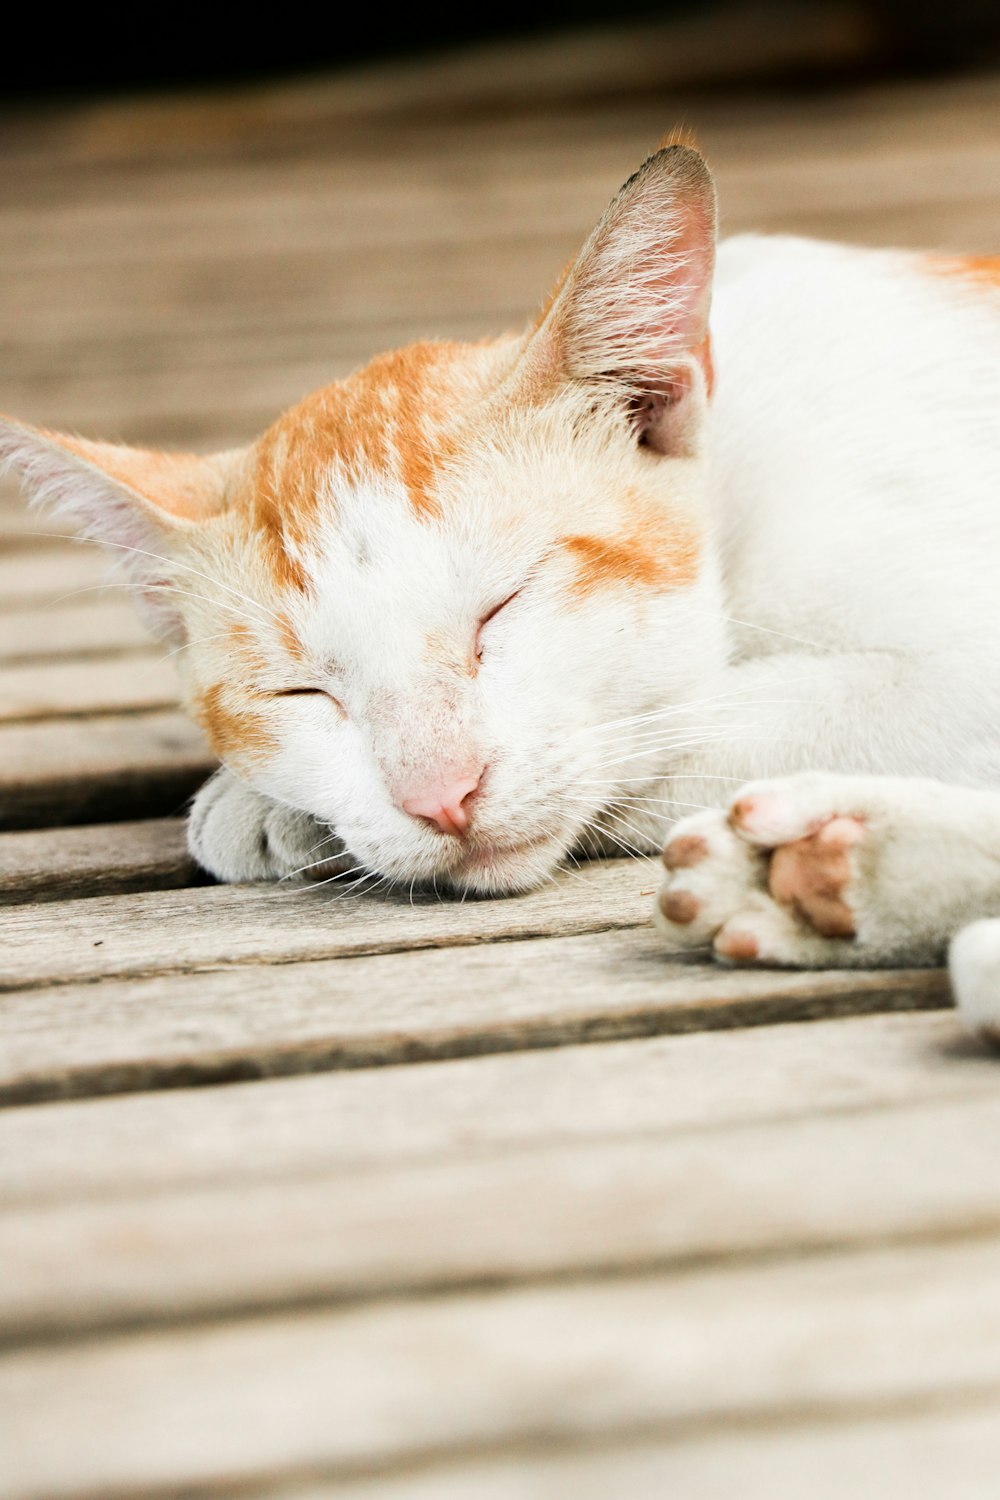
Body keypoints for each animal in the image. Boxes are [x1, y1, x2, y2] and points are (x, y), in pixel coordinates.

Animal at [1, 149, 1000, 1032]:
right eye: (299, 693)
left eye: (502, 610)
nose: (442, 796)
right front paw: (277, 803)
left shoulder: (956, 669)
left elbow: (687, 727)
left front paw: (255, 806)